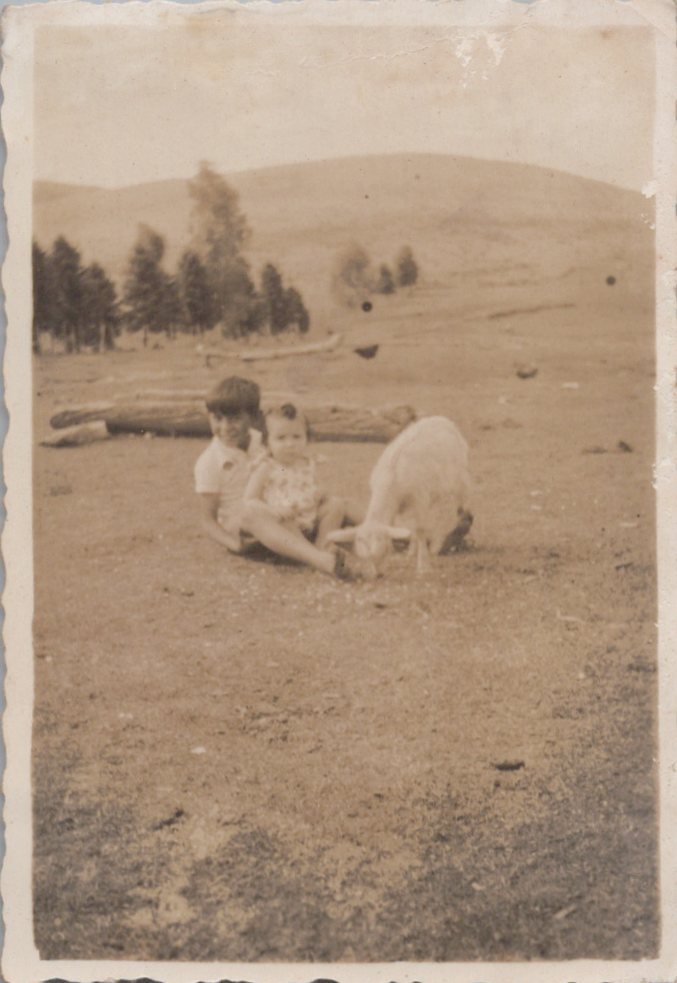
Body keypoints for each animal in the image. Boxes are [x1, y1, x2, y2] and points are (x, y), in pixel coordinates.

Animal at [329, 416, 473, 577]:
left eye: (380, 553)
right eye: (362, 557)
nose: (374, 576)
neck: (391, 483)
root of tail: (441, 419)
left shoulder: (419, 499)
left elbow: (420, 529)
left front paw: (423, 566)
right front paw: (408, 553)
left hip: (458, 482)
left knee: (454, 511)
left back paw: (442, 542)